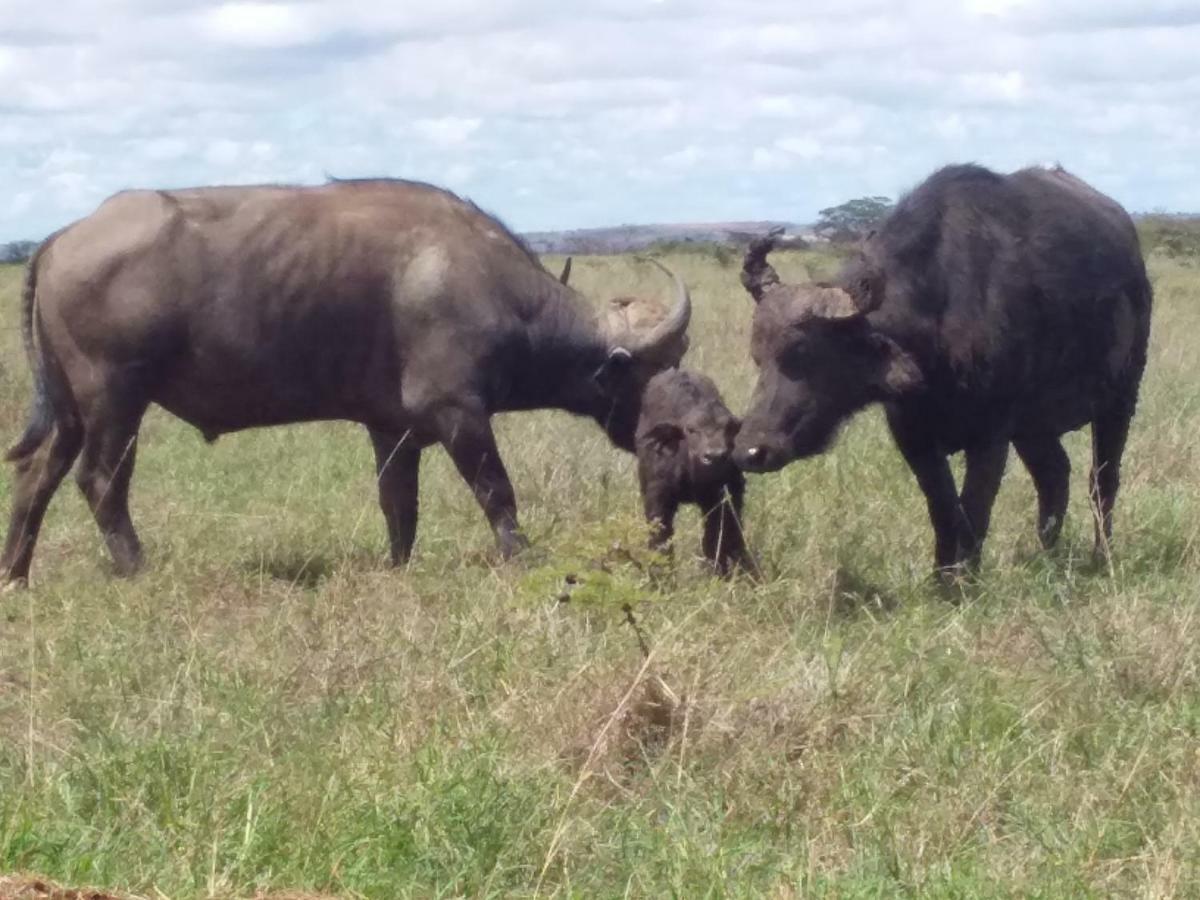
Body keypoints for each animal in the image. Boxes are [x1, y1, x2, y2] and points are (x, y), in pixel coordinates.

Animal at [729, 165, 1152, 573]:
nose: (750, 451)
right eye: (758, 356)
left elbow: (975, 509)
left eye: (803, 353)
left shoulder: (990, 436)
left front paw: (965, 576)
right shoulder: (913, 437)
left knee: (1102, 480)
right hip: (1035, 427)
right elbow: (945, 510)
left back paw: (1101, 556)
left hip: (1120, 399)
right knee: (1054, 475)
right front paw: (942, 577)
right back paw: (1048, 553)